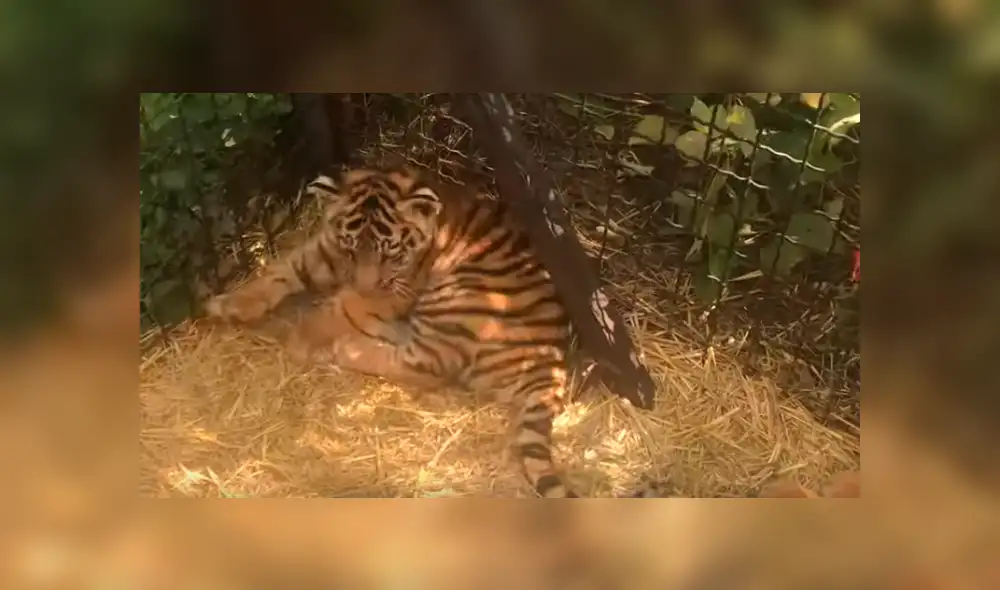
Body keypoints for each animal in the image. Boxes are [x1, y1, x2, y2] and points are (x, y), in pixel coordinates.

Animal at [204, 165, 579, 498]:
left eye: (391, 253)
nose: (365, 286)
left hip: (460, 297)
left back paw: (344, 347)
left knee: (426, 364)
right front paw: (227, 304)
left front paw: (300, 340)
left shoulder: (390, 291)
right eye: (350, 247)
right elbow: (281, 270)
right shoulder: (322, 251)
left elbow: (336, 311)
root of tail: (552, 359)